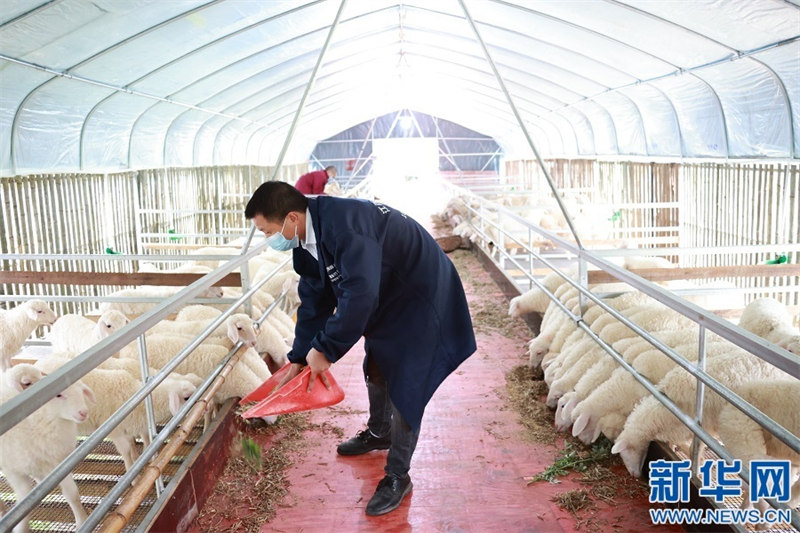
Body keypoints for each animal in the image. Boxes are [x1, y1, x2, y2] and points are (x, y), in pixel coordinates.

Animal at [0, 376, 94, 528]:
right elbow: (22, 505)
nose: (83, 412)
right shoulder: (13, 471)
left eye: (81, 391)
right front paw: (20, 526)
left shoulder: (60, 465)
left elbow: (72, 493)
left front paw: (82, 521)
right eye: (58, 395)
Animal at [608, 350, 792, 478]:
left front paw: (697, 465)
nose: (636, 475)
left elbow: (694, 449)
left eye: (624, 453)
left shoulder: (703, 427)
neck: (665, 407)